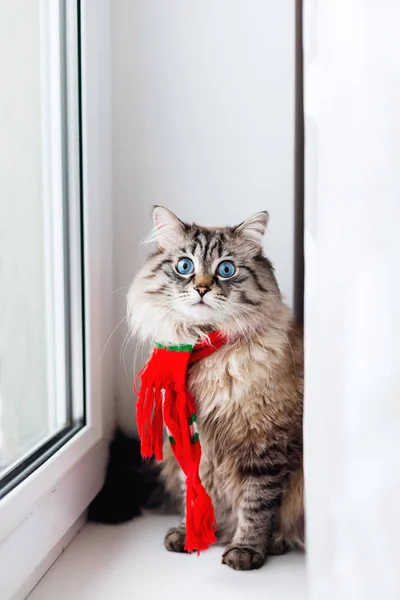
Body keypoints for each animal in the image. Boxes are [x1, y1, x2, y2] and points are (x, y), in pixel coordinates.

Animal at [128, 207, 304, 572]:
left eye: (226, 269)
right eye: (185, 266)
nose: (201, 289)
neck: (205, 347)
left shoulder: (265, 445)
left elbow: (256, 507)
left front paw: (245, 550)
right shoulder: (190, 444)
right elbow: (194, 494)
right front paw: (192, 534)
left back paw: (277, 543)